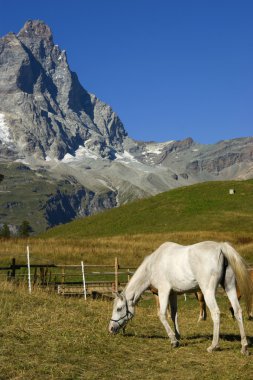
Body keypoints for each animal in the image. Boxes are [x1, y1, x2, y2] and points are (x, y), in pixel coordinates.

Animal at [108, 242, 253, 354]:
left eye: (119, 308)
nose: (110, 328)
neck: (153, 265)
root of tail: (220, 247)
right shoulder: (173, 294)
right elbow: (174, 315)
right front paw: (178, 336)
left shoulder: (163, 291)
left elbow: (161, 315)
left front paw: (173, 340)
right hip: (230, 287)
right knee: (238, 311)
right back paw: (244, 347)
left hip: (208, 291)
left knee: (216, 313)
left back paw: (213, 346)